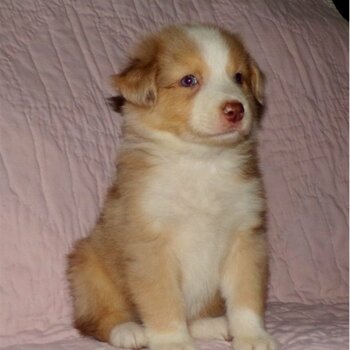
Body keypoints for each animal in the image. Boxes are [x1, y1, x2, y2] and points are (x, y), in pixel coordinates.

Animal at [67, 23, 278, 350]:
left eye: (238, 77)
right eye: (189, 80)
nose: (235, 110)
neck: (201, 161)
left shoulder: (246, 237)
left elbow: (246, 296)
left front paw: (252, 336)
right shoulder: (151, 244)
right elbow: (163, 302)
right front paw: (173, 342)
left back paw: (214, 324)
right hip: (87, 267)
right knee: (94, 318)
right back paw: (129, 331)